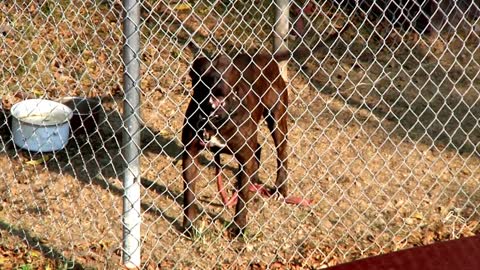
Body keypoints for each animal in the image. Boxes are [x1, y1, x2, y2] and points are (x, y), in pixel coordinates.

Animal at [182, 51, 290, 237]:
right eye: (203, 70)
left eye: (226, 69)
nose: (218, 83)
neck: (216, 119)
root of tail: (266, 57)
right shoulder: (190, 154)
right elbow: (189, 194)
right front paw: (189, 226)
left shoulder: (244, 158)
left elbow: (242, 199)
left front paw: (238, 227)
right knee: (257, 149)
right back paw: (254, 181)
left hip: (277, 118)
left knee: (282, 152)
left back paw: (279, 189)